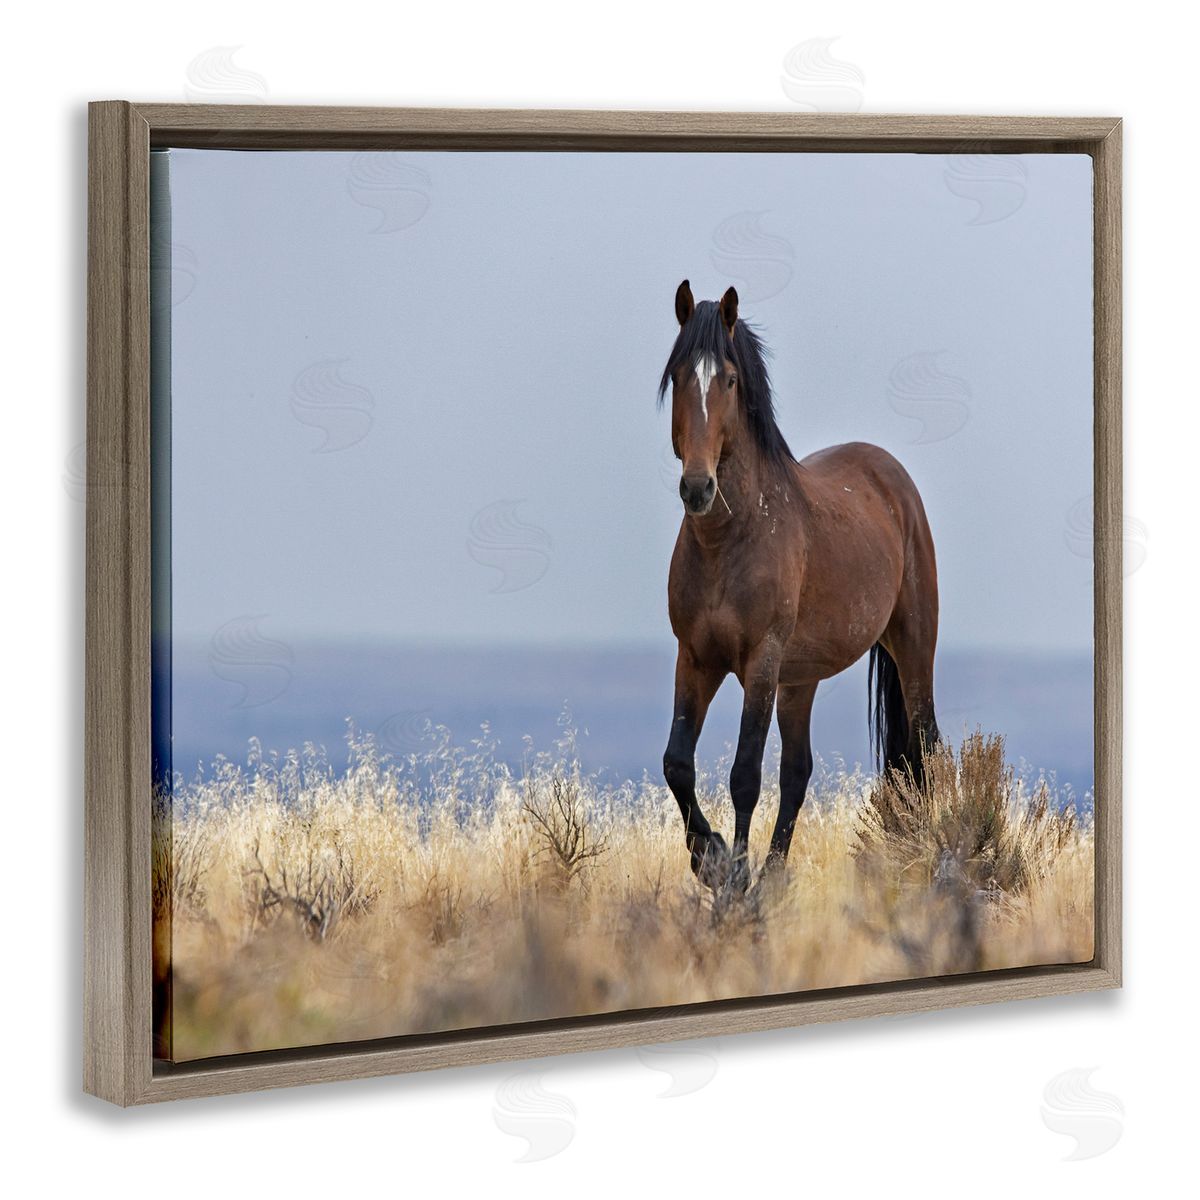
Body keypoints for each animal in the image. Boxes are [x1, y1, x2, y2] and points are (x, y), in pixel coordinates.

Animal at [659, 280, 941, 891]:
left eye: (729, 379)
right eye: (678, 375)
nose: (698, 487)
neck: (730, 541)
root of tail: (893, 478)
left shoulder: (760, 663)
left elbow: (744, 774)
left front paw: (734, 880)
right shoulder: (694, 659)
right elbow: (676, 763)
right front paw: (711, 858)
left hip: (912, 647)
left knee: (926, 747)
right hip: (800, 679)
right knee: (797, 771)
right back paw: (774, 875)